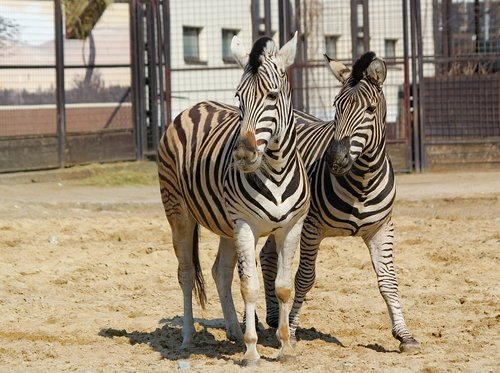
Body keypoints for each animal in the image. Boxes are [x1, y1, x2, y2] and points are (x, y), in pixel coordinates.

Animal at [158, 32, 310, 364]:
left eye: (272, 95)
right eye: (239, 98)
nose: (242, 155)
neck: (275, 170)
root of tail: (195, 106)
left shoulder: (291, 227)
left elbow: (283, 287)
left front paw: (285, 347)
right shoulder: (245, 225)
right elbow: (250, 286)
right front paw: (252, 350)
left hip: (225, 223)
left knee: (220, 271)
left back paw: (234, 333)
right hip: (179, 211)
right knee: (186, 273)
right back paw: (188, 338)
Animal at [260, 51, 420, 352]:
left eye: (370, 109)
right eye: (336, 106)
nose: (335, 158)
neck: (363, 180)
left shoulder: (382, 229)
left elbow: (388, 281)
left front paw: (405, 335)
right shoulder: (311, 228)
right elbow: (304, 278)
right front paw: (294, 330)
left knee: (266, 255)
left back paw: (275, 318)